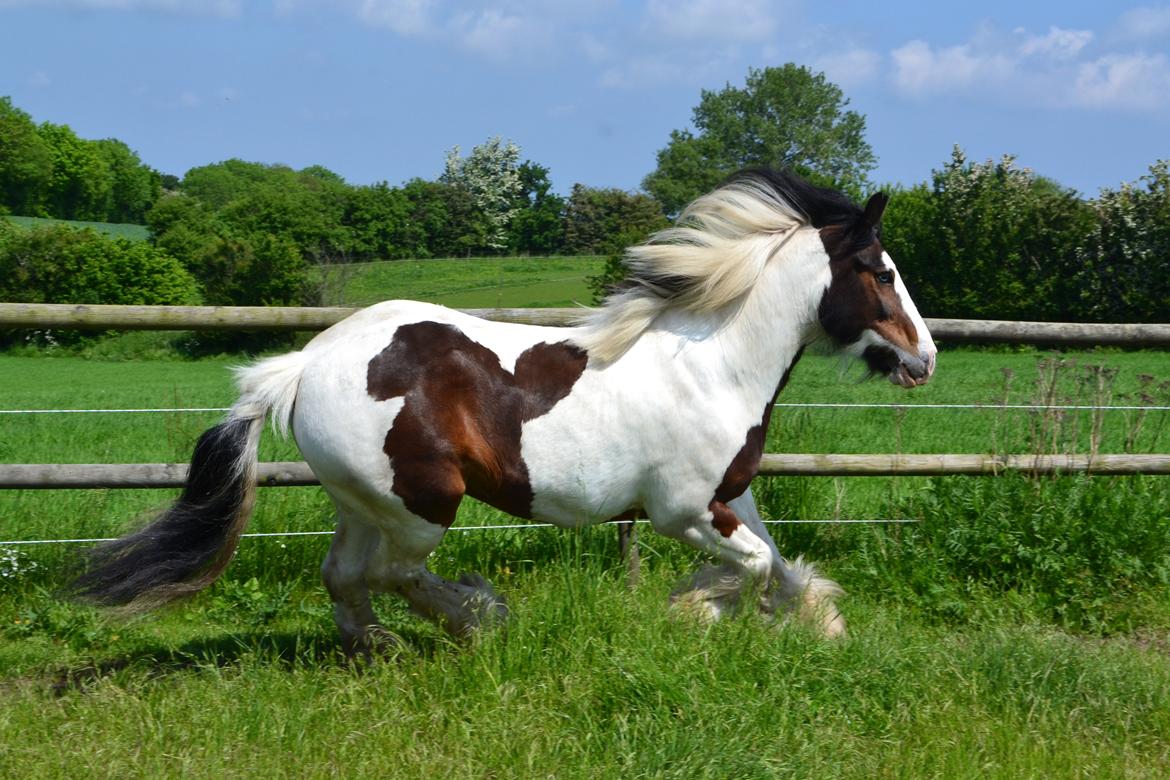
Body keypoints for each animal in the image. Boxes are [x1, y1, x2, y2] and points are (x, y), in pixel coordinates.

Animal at [70, 169, 931, 654]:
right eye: (881, 271)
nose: (922, 359)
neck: (714, 363)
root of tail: (302, 365)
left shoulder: (731, 496)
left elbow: (776, 561)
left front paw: (816, 623)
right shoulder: (682, 509)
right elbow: (749, 567)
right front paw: (694, 614)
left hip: (361, 501)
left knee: (344, 573)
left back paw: (378, 647)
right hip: (422, 502)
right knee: (395, 572)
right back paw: (482, 620)